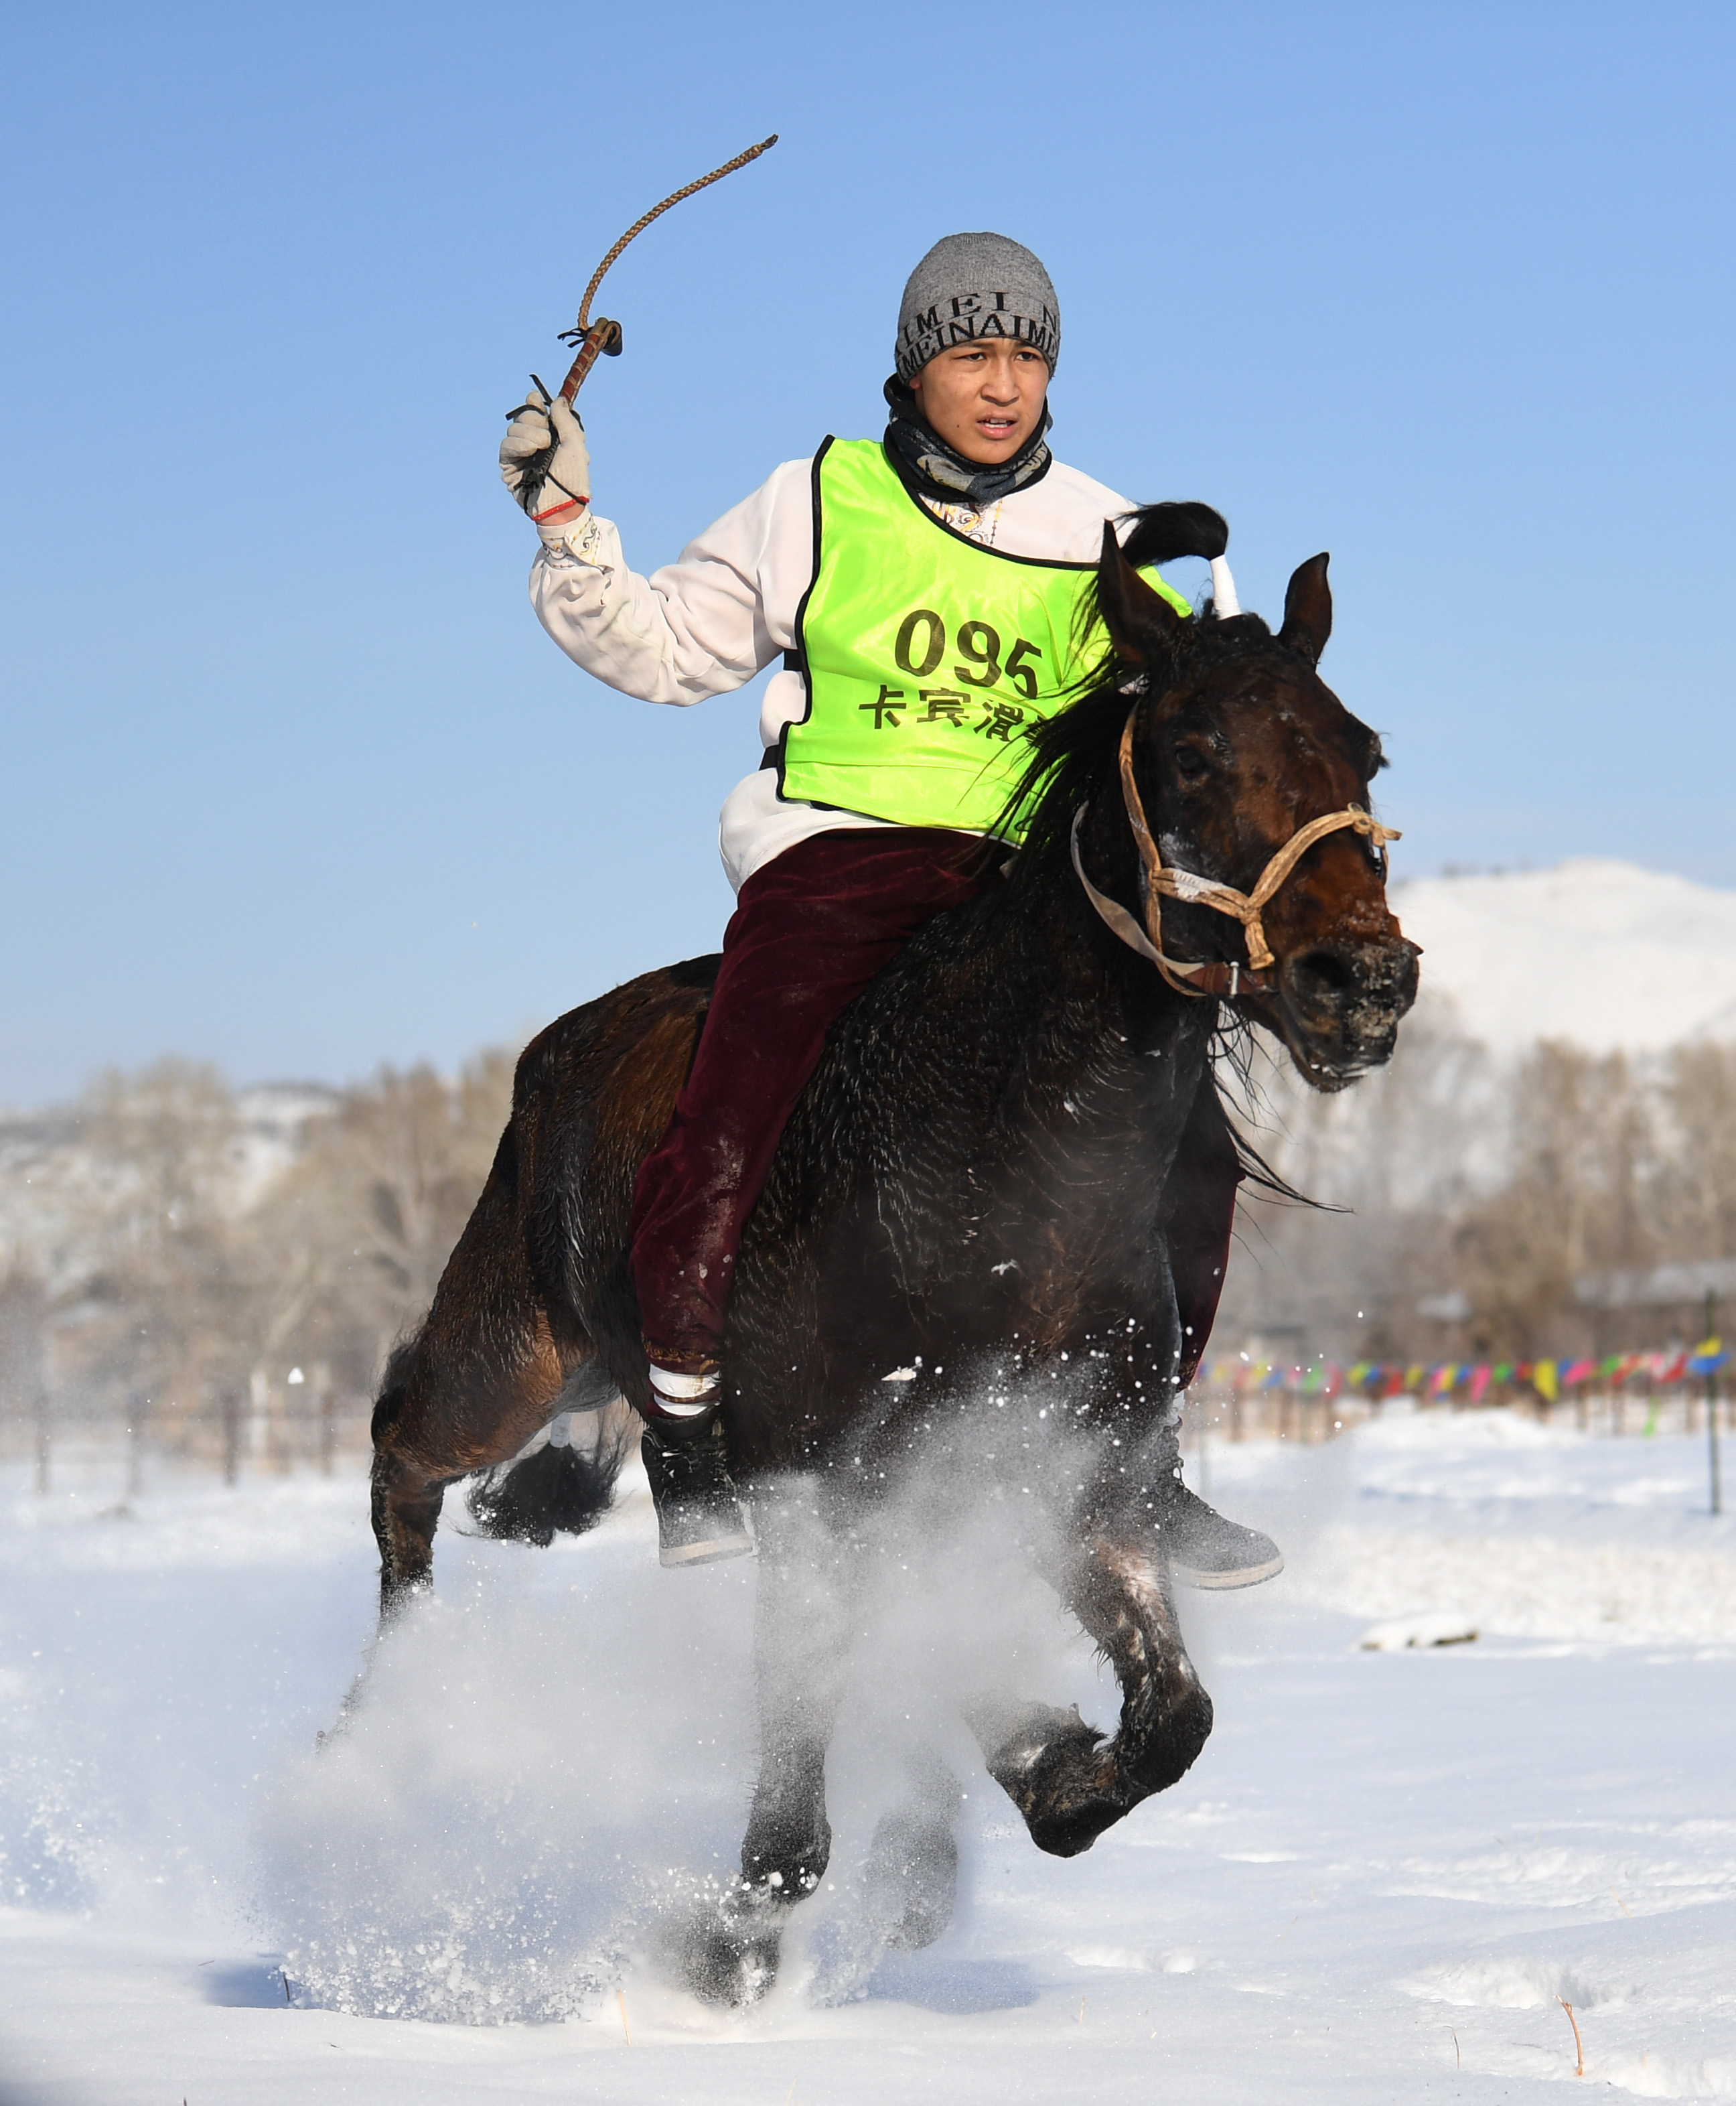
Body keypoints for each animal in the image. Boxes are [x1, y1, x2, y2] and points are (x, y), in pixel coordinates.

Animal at [360, 518, 1415, 1996]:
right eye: (1196, 750)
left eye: (1361, 750)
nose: (1359, 983)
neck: (991, 1174)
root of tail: (558, 1050)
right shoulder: (815, 1484)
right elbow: (801, 1788)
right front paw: (730, 1946)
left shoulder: (1050, 1470)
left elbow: (1165, 1716)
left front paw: (1052, 1771)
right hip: (513, 1353)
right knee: (403, 1442)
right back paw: (379, 1724)